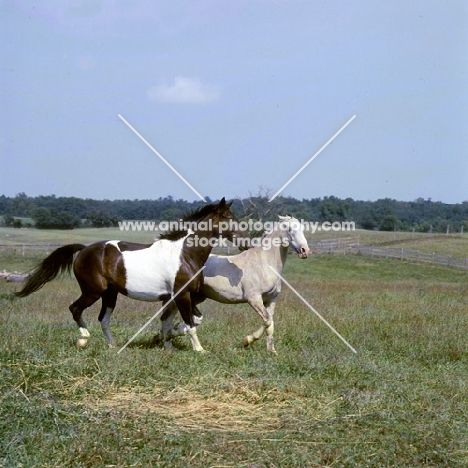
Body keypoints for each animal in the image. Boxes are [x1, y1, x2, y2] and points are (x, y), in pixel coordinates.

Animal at [15, 196, 245, 350]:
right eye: (227, 217)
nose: (245, 241)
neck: (185, 253)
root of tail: (84, 249)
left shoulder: (174, 298)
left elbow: (180, 321)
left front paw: (166, 343)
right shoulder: (183, 296)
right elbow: (190, 324)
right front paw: (198, 349)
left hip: (110, 294)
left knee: (103, 318)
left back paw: (112, 346)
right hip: (93, 291)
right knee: (75, 309)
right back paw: (83, 339)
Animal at [161, 215, 310, 352]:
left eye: (302, 229)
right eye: (289, 229)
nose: (305, 251)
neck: (265, 263)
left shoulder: (271, 299)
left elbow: (270, 324)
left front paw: (271, 351)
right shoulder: (254, 299)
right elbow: (267, 321)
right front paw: (247, 341)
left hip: (195, 297)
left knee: (170, 318)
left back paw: (169, 340)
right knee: (167, 317)